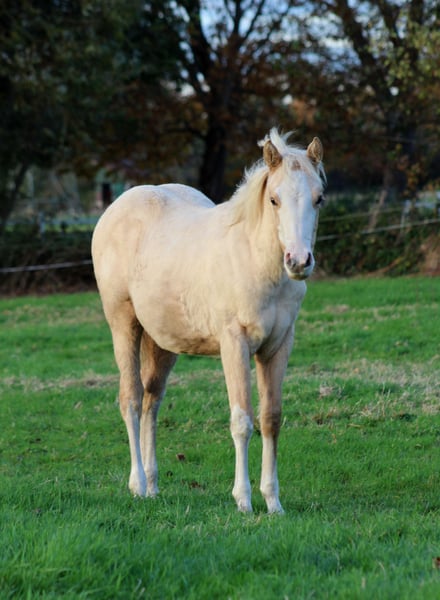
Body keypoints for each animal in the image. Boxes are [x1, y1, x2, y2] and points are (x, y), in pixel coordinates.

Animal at [91, 129, 325, 514]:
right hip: (123, 324)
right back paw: (137, 484)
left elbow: (271, 419)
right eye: (273, 200)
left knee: (152, 401)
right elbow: (242, 421)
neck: (255, 260)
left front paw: (273, 502)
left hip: (162, 342)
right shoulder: (235, 344)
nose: (298, 261)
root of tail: (117, 208)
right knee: (132, 398)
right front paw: (244, 501)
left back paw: (153, 486)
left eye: (319, 199)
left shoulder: (278, 347)